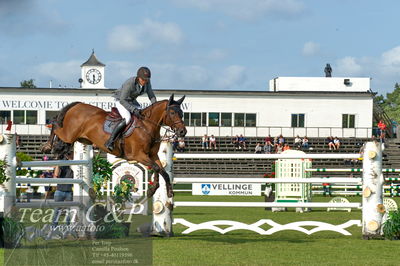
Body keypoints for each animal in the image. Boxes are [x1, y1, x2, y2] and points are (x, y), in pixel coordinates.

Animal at [43, 95, 187, 197]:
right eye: (172, 113)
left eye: (182, 113)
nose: (182, 132)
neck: (147, 126)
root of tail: (77, 105)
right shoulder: (139, 156)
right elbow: (157, 168)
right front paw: (153, 190)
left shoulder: (152, 155)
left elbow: (162, 171)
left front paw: (162, 191)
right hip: (68, 134)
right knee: (55, 124)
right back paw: (47, 146)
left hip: (80, 139)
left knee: (62, 138)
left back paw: (57, 148)